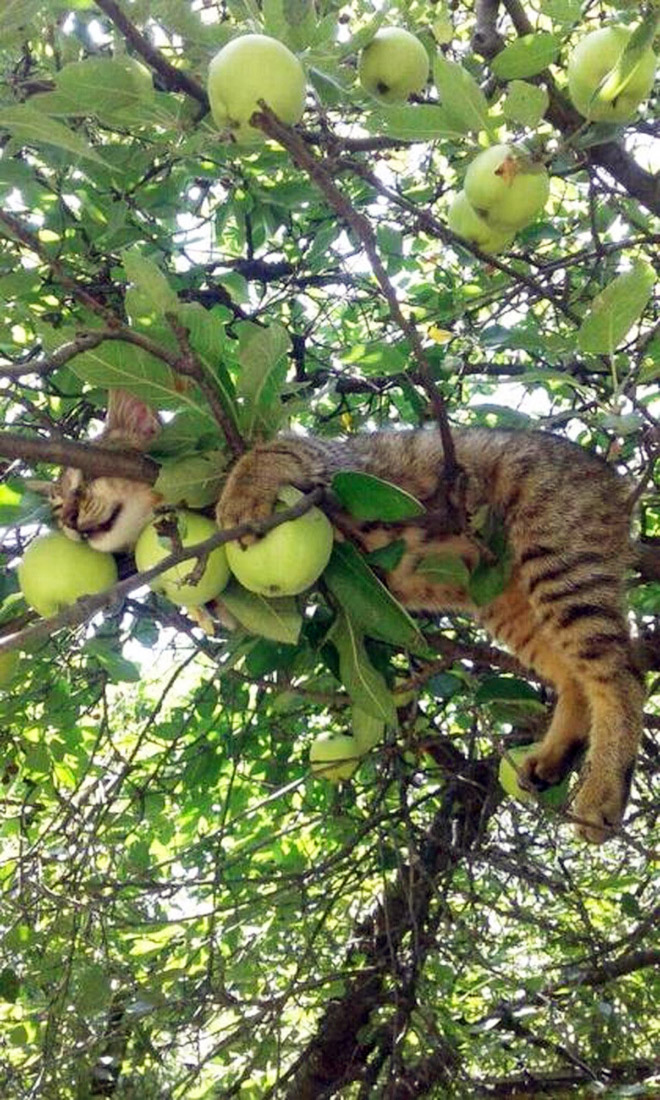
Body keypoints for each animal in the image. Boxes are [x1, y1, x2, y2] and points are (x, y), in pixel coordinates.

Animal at [50, 393, 642, 840]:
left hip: (558, 561)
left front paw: (238, 496)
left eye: (80, 483)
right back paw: (555, 755)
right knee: (574, 678)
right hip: (511, 605)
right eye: (56, 510)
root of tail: (611, 477)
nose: (71, 522)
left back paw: (603, 791)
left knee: (620, 676)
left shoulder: (332, 464)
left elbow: (264, 452)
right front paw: (202, 606)